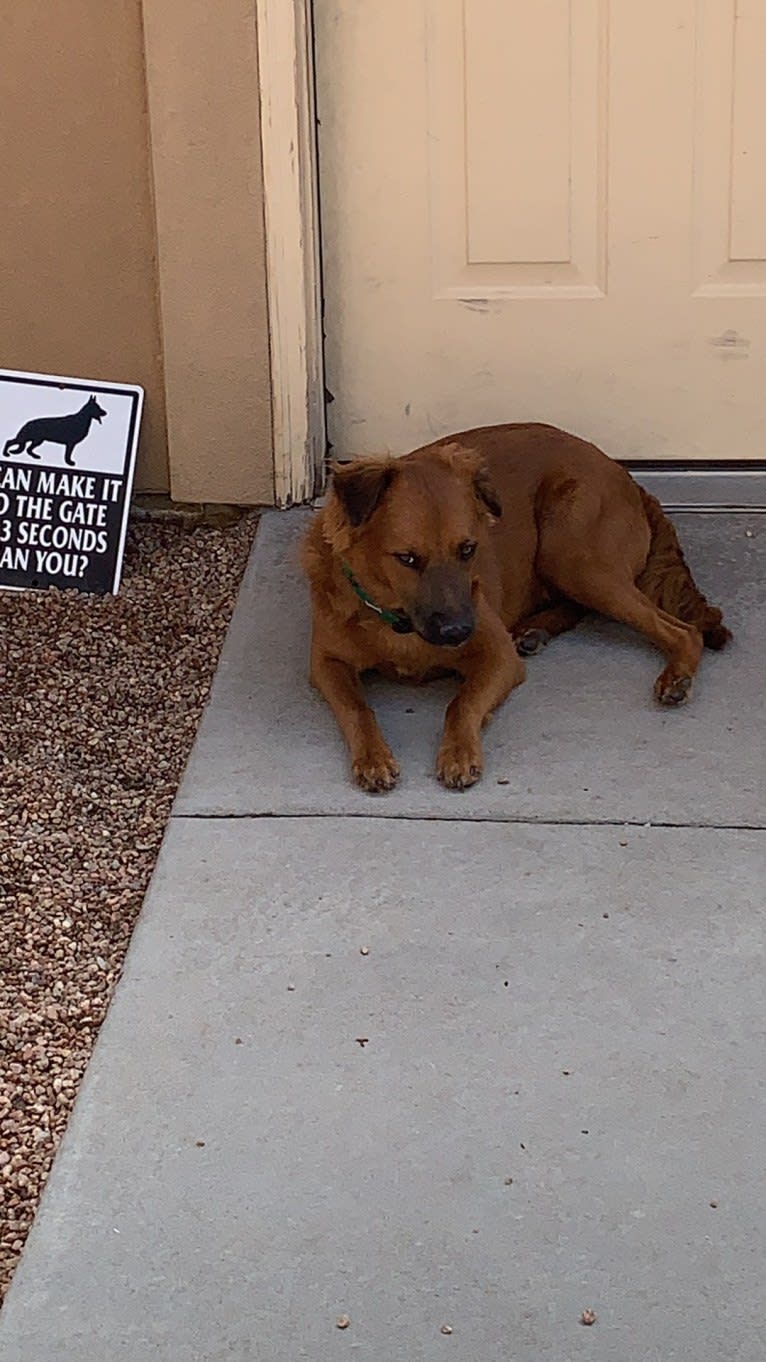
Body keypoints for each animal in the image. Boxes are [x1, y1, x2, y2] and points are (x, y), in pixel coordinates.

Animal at [299, 422, 725, 789]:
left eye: (468, 549)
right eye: (407, 559)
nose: (458, 631)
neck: (397, 623)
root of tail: (625, 474)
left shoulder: (496, 654)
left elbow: (461, 703)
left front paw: (459, 752)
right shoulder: (326, 663)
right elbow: (357, 709)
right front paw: (373, 758)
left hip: (572, 554)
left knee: (683, 631)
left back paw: (677, 676)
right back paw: (535, 630)